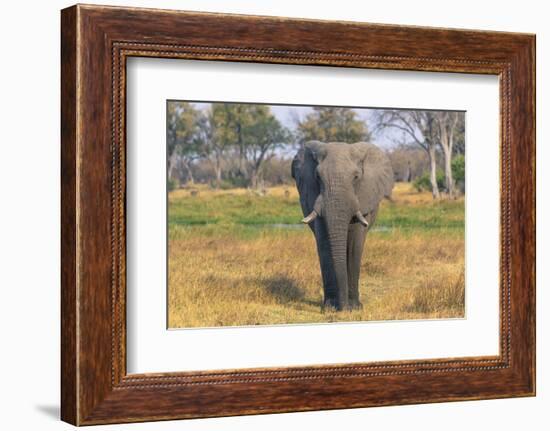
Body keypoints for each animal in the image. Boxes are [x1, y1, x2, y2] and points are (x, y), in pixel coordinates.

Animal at [292, 143, 394, 312]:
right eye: (317, 177)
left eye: (356, 177)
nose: (343, 307)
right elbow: (324, 244)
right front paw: (329, 307)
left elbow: (354, 244)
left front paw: (355, 308)